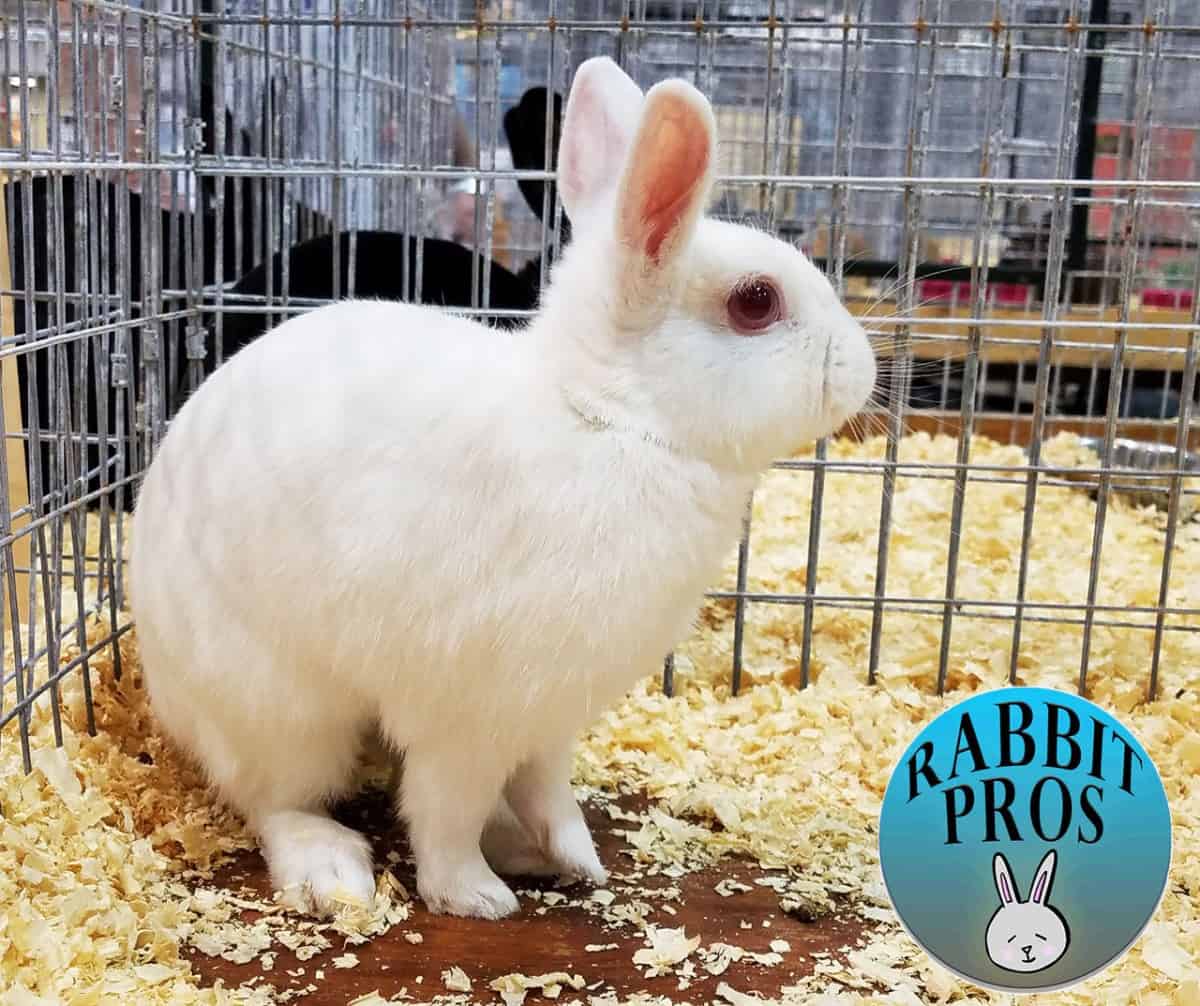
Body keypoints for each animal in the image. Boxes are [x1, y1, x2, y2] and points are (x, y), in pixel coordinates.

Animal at [128, 55, 876, 920]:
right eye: (756, 301)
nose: (863, 367)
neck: (609, 419)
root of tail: (163, 688)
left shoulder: (549, 716)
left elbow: (547, 789)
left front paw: (577, 857)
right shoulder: (470, 717)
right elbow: (444, 812)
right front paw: (474, 898)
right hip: (281, 713)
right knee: (277, 799)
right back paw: (333, 872)